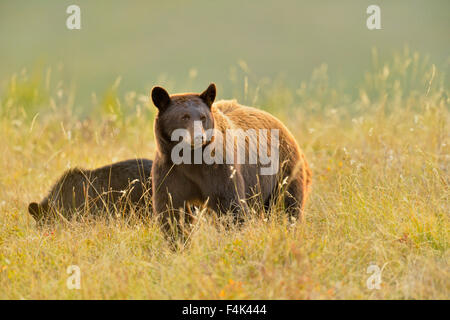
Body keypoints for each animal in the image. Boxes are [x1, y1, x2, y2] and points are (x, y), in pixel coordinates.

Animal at [149, 82, 312, 232]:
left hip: (283, 170)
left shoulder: (220, 168)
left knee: (287, 206)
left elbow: (231, 206)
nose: (199, 137)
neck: (191, 158)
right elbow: (170, 208)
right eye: (184, 117)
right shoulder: (169, 169)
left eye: (203, 117)